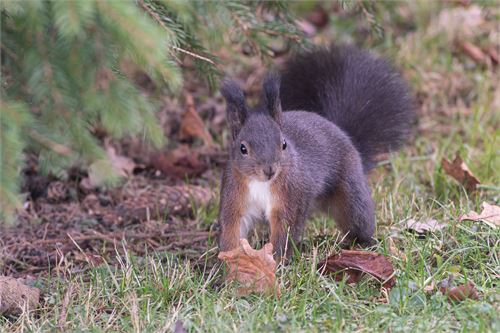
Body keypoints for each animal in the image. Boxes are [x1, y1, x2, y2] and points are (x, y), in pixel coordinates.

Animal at [217, 45, 412, 258]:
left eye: (283, 144)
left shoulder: (290, 198)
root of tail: (343, 133)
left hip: (350, 192)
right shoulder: (234, 197)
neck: (261, 184)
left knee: (359, 217)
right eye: (243, 148)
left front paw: (275, 260)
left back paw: (363, 243)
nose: (269, 170)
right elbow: (232, 227)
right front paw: (227, 262)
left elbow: (284, 232)